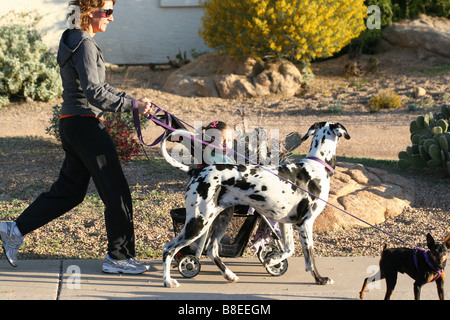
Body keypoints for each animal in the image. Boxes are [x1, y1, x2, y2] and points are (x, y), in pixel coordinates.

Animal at [160, 122, 350, 288]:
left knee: (211, 250)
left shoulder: (285, 222)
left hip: (222, 219)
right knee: (168, 248)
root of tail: (196, 171)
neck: (316, 166)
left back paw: (229, 275)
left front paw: (272, 260)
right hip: (198, 223)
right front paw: (319, 279)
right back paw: (168, 281)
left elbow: (289, 249)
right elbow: (310, 257)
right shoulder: (305, 223)